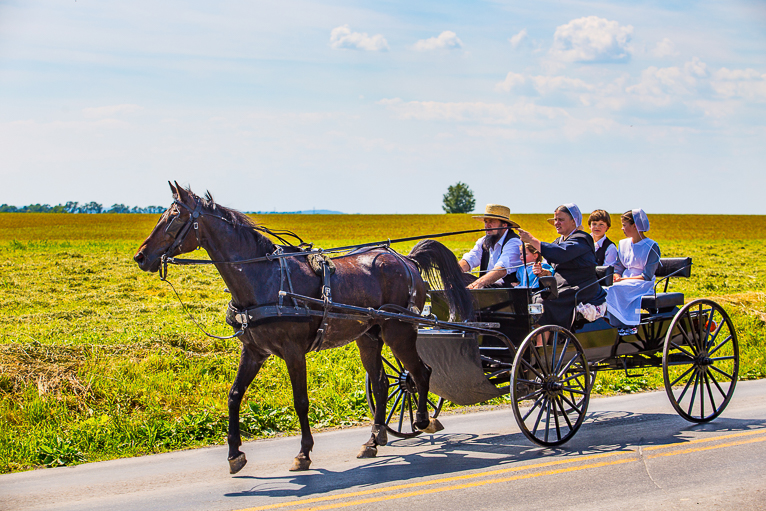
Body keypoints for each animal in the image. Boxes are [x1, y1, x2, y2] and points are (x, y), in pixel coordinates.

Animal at [135, 182, 476, 474]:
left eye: (174, 218)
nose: (141, 256)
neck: (265, 279)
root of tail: (407, 260)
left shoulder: (293, 351)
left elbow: (300, 401)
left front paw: (303, 453)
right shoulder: (254, 351)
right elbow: (234, 396)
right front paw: (234, 455)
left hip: (400, 330)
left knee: (420, 373)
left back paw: (423, 420)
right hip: (369, 336)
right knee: (381, 384)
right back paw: (374, 439)